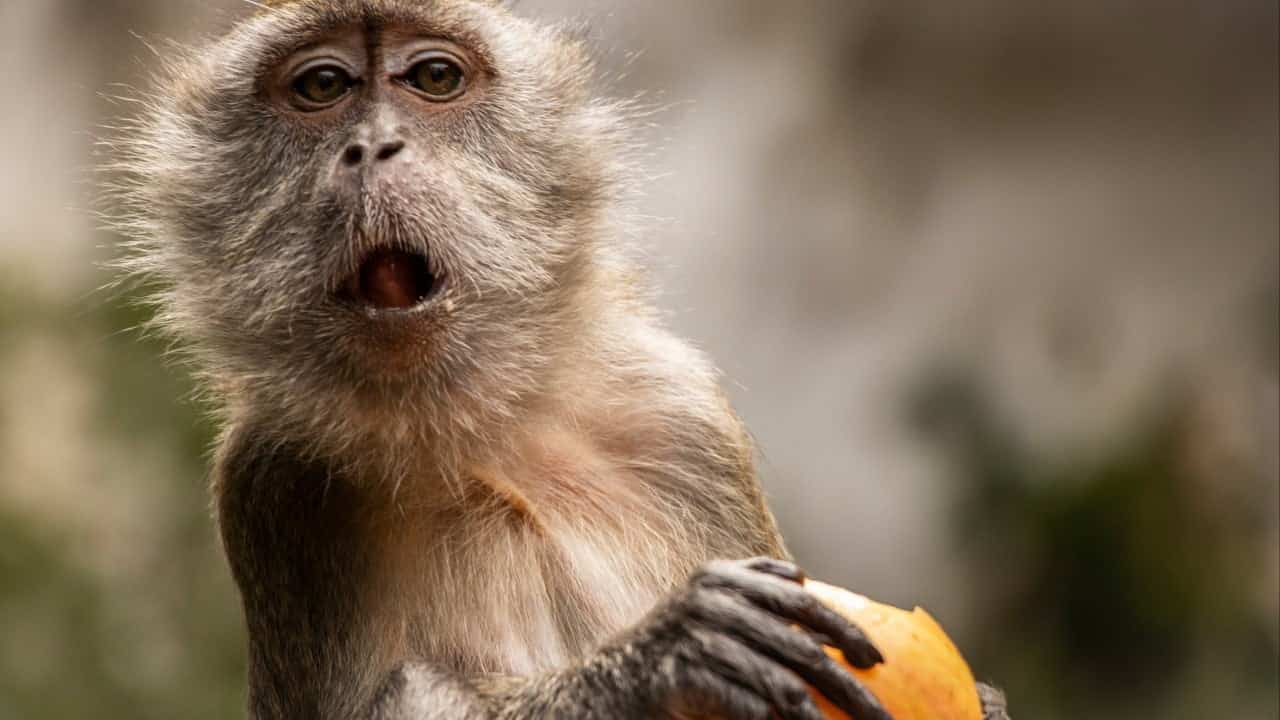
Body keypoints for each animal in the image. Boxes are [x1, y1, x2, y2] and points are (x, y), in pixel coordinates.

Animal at [108, 1, 1010, 719]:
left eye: (433, 77)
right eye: (323, 88)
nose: (372, 146)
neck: (476, 430)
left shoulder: (682, 417)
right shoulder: (278, 489)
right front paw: (654, 660)